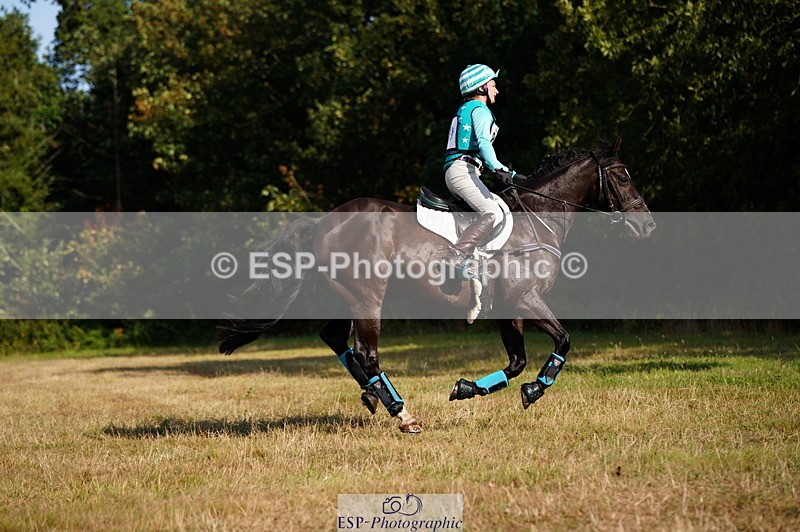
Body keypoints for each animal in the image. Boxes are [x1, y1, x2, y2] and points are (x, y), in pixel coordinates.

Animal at [217, 136, 655, 433]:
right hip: (368, 297)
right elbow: (562, 342)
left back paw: (372, 395)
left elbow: (516, 362)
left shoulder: (510, 310)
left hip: (347, 297)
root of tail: (324, 221)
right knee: (366, 352)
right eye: (623, 177)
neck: (537, 217)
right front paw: (534, 391)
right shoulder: (525, 299)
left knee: (337, 340)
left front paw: (465, 388)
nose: (648, 225)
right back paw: (402, 414)